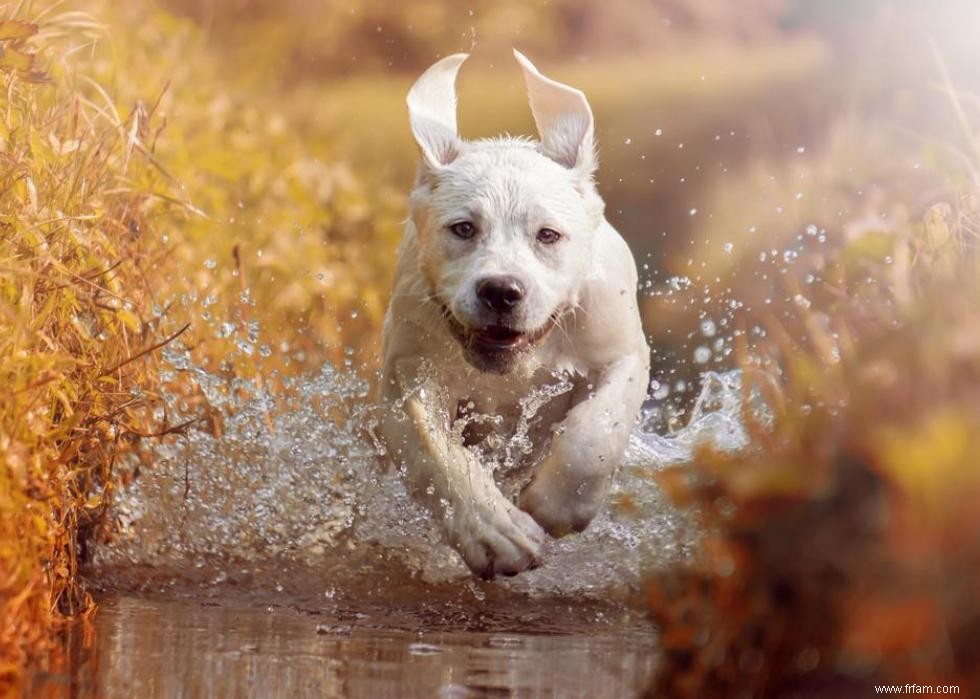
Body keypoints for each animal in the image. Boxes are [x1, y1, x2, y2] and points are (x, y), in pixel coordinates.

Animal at [378, 50, 652, 580]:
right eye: (463, 228)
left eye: (548, 235)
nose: (501, 291)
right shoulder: (407, 377)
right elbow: (437, 450)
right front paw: (494, 532)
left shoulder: (622, 352)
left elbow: (596, 433)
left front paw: (556, 504)